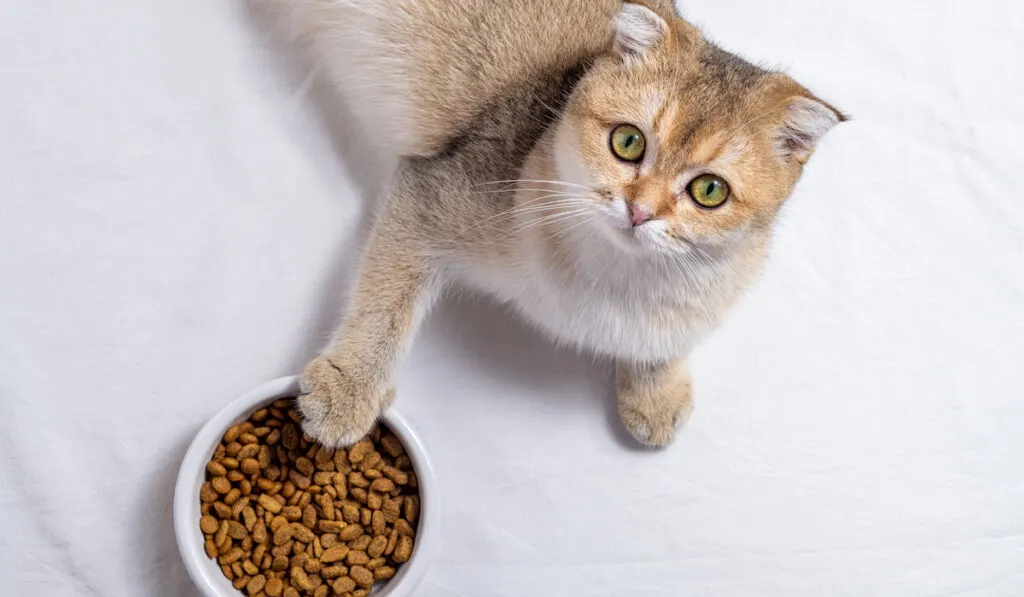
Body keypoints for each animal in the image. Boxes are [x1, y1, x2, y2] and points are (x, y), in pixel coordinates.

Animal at [260, 0, 843, 448]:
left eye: (709, 191)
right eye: (627, 141)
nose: (640, 211)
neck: (615, 280)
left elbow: (662, 341)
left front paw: (656, 391)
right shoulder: (430, 193)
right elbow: (386, 304)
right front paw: (350, 389)